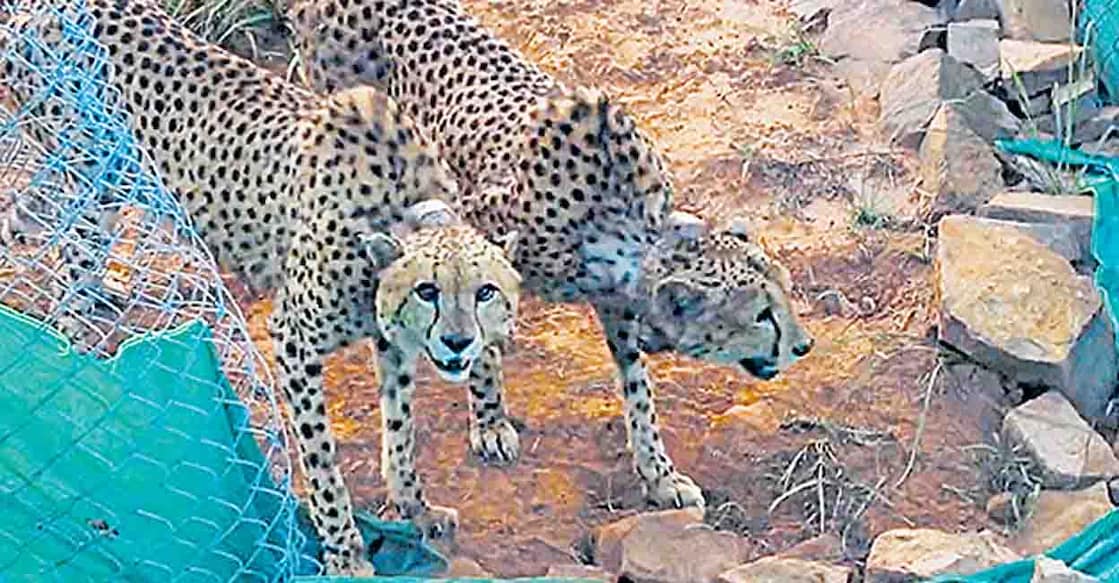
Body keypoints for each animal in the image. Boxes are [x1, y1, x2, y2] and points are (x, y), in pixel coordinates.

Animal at [1, 0, 519, 572]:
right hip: (93, 183)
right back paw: (80, 341)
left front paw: (416, 509)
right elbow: (321, 461)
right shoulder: (294, 342)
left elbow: (401, 433)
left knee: (31, 213)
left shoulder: (394, 343)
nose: (458, 342)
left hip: (103, 183)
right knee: (70, 249)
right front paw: (344, 553)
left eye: (485, 292)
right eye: (428, 291)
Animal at [288, 0, 814, 514]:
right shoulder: (476, 230)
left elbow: (638, 388)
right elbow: (473, 322)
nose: (804, 346)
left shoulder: (617, 298)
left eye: (787, 294)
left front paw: (660, 475)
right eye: (761, 315)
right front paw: (489, 418)